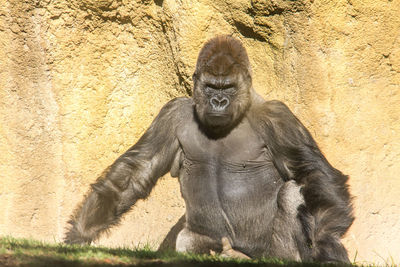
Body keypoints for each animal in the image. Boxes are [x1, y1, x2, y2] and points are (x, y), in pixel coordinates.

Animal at [64, 35, 354, 264]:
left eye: (228, 87)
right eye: (211, 86)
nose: (218, 101)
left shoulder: (278, 117)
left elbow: (314, 174)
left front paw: (327, 244)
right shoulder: (172, 113)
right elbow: (136, 172)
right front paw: (79, 234)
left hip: (270, 255)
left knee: (293, 192)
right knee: (188, 240)